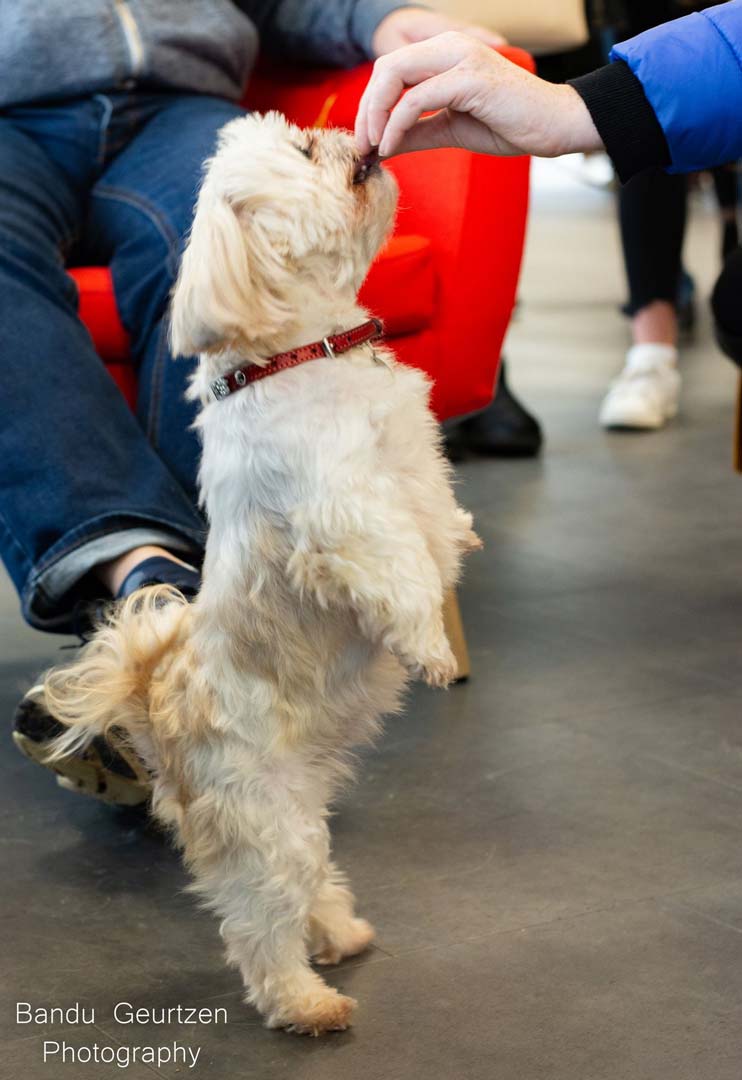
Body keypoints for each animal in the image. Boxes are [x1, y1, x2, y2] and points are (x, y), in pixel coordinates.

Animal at [42, 111, 481, 1036]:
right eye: (307, 153)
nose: (354, 133)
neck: (305, 353)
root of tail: (153, 701)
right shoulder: (343, 516)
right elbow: (401, 570)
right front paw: (429, 646)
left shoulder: (414, 468)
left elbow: (436, 527)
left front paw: (462, 541)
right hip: (263, 821)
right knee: (257, 922)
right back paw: (308, 1002)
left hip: (302, 810)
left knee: (307, 887)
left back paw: (340, 931)